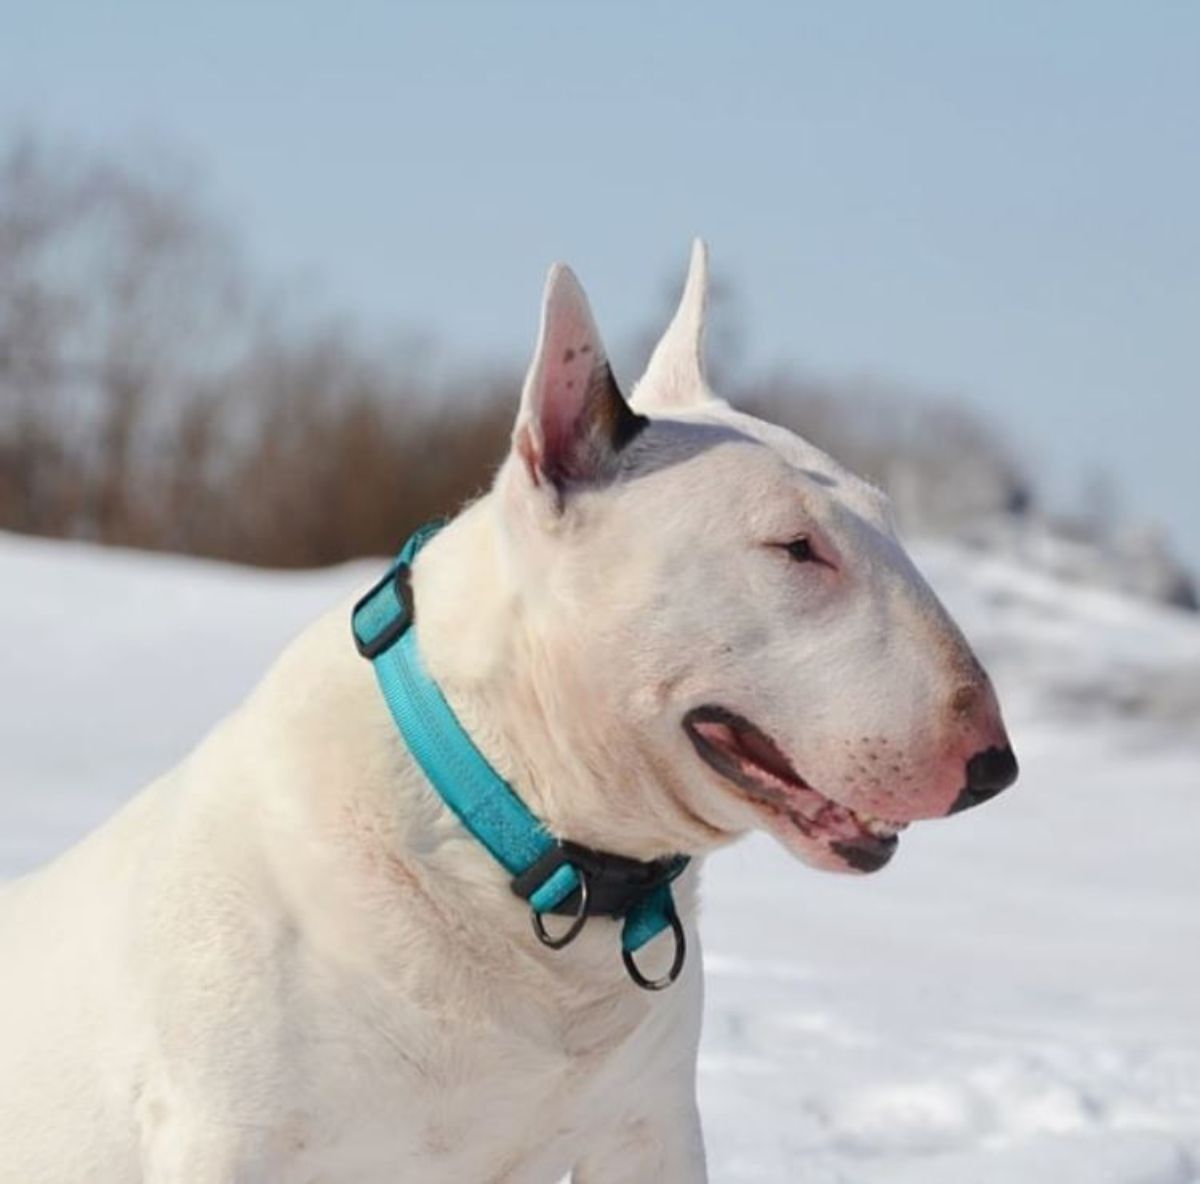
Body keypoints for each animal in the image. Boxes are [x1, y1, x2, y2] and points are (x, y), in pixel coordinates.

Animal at [0, 238, 1012, 1175]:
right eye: (796, 548)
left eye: (887, 520)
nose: (994, 768)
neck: (521, 846)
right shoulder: (228, 1140)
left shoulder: (648, 1129)